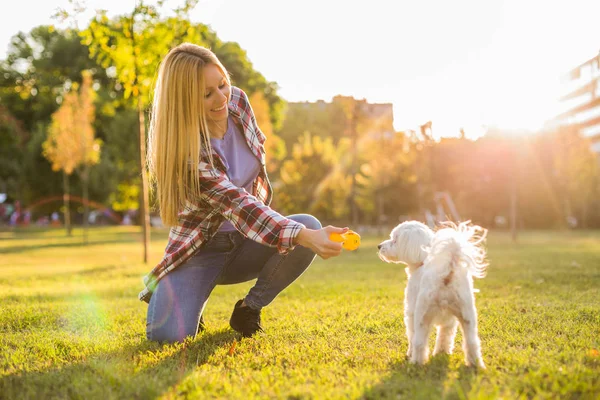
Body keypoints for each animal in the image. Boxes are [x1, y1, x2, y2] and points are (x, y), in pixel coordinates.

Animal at [378, 220, 490, 368]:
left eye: (395, 239)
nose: (379, 246)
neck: (423, 261)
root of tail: (447, 274)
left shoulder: (411, 312)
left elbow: (411, 335)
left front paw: (410, 353)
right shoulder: (449, 320)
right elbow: (445, 335)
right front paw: (442, 352)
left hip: (422, 314)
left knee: (419, 342)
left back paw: (416, 362)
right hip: (467, 315)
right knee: (472, 342)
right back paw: (475, 364)